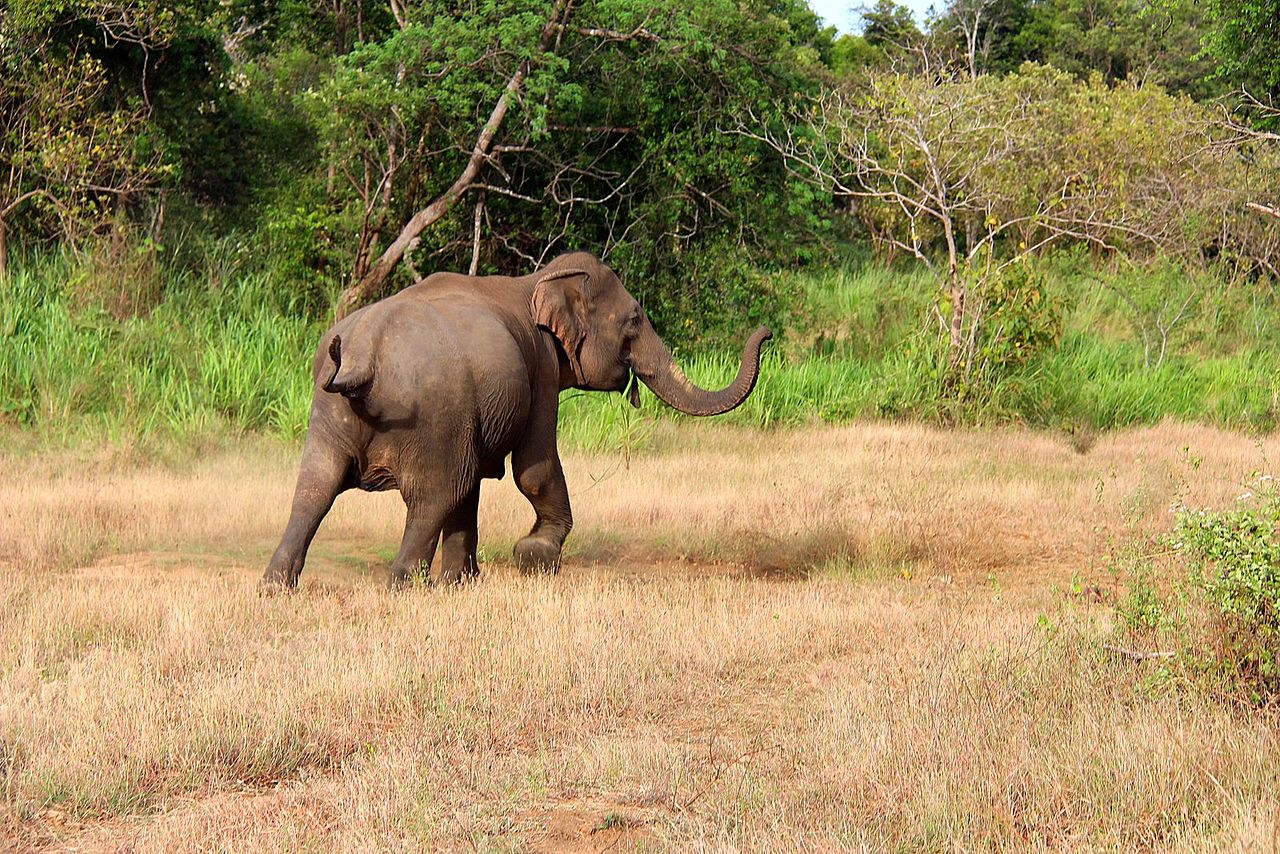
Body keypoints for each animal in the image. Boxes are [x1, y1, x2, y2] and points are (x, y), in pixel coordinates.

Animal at [260, 251, 771, 590]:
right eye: (633, 321)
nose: (766, 331)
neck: (537, 282)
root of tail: (362, 359)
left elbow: (474, 486)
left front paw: (463, 583)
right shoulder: (540, 367)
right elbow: (533, 467)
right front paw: (534, 556)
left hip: (329, 416)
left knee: (313, 491)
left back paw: (275, 587)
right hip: (430, 418)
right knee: (432, 496)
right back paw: (402, 586)